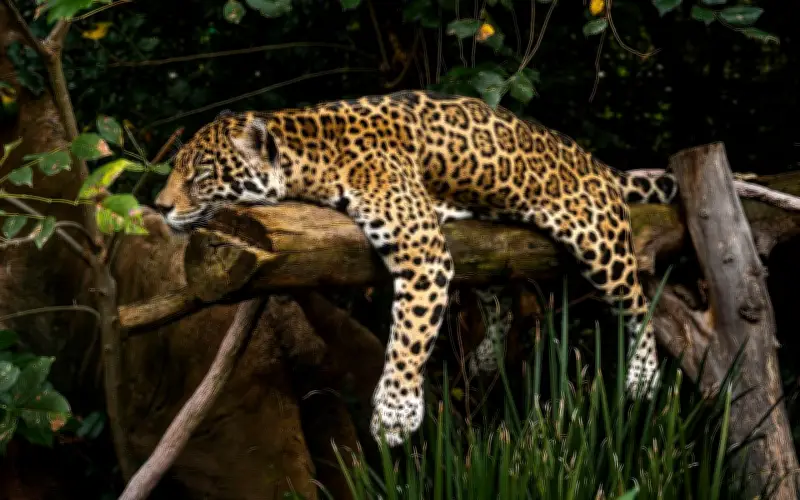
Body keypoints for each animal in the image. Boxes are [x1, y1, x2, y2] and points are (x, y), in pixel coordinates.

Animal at [153, 90, 678, 448]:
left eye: (200, 173)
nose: (158, 206)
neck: (312, 152)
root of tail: (600, 166)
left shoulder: (421, 247)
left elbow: (410, 334)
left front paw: (394, 414)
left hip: (597, 237)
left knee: (637, 300)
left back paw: (643, 375)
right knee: (498, 295)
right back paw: (486, 356)